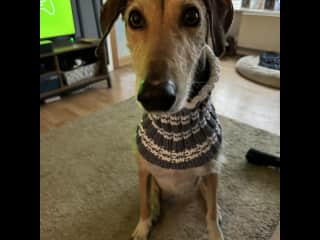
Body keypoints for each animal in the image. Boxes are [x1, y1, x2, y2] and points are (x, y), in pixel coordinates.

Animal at [99, 0, 234, 239]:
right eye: (135, 18)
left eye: (192, 16)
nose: (155, 96)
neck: (175, 129)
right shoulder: (144, 171)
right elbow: (143, 205)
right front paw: (143, 226)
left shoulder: (211, 171)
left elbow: (209, 216)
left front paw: (215, 229)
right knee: (154, 196)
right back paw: (155, 209)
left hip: (208, 177)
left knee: (209, 198)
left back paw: (215, 208)